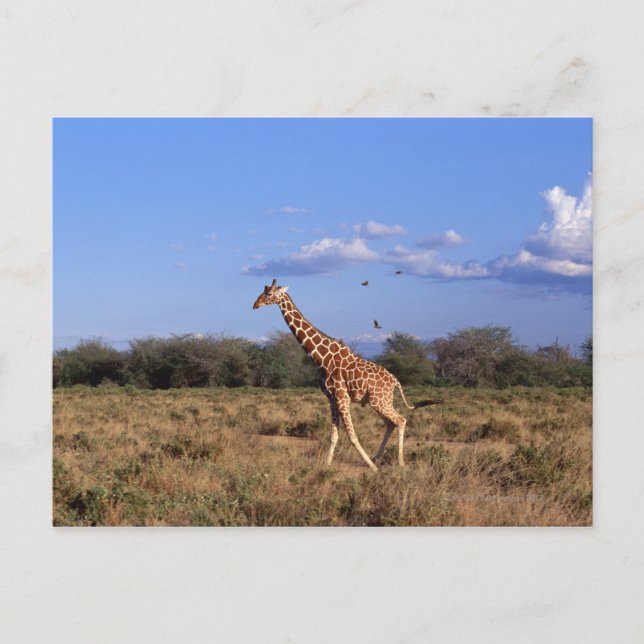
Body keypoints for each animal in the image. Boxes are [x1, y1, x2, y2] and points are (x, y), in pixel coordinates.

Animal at [253, 279, 441, 472]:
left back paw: (399, 463)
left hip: (379, 401)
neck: (321, 358)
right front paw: (327, 465)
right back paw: (377, 458)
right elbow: (334, 435)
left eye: (268, 293)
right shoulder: (331, 398)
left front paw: (371, 468)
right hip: (378, 401)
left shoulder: (342, 397)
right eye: (263, 291)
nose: (255, 305)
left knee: (400, 420)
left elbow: (352, 435)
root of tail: (395, 381)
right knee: (391, 423)